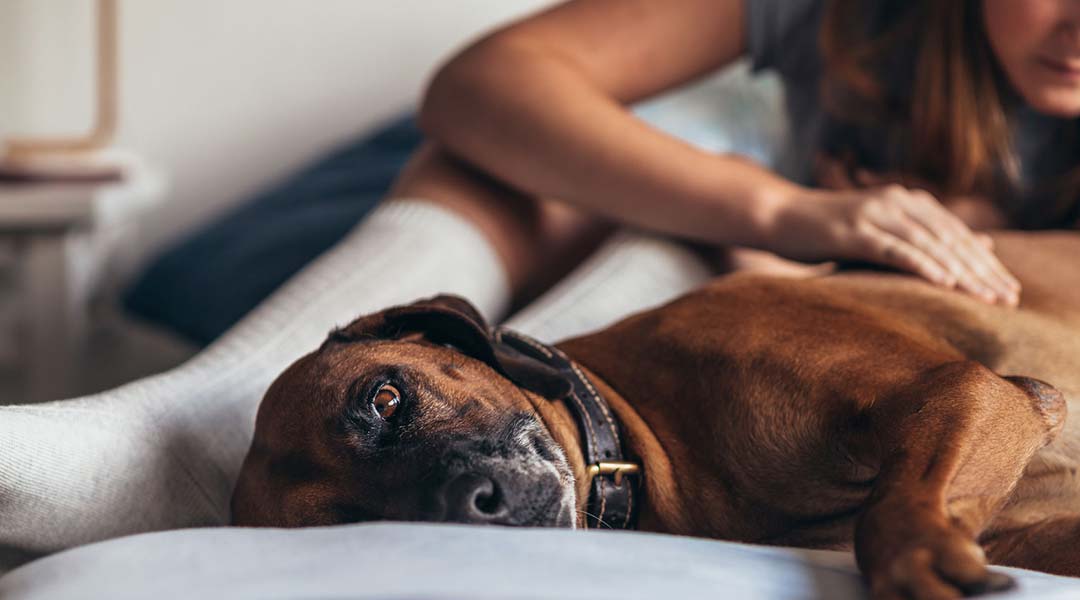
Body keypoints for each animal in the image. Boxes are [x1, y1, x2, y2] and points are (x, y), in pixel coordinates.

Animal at [232, 230, 1080, 600]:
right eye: (355, 529)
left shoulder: (957, 389)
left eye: (384, 398)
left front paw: (914, 563)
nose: (473, 506)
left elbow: (889, 512)